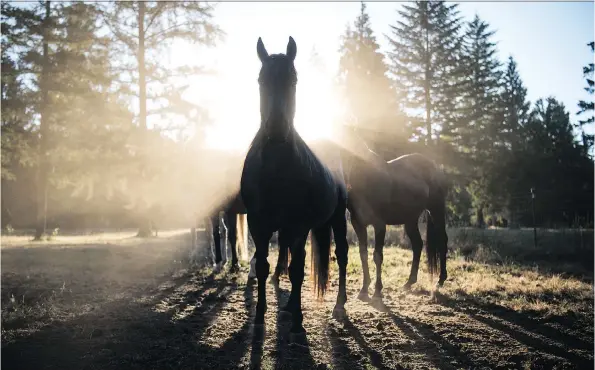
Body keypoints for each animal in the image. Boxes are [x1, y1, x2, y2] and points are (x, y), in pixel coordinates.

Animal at [241, 36, 352, 334]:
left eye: (293, 80)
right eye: (261, 80)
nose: (277, 129)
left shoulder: (299, 225)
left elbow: (297, 270)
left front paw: (298, 321)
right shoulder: (259, 224)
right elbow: (264, 266)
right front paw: (260, 314)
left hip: (337, 218)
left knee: (342, 255)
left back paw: (338, 305)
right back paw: (290, 305)